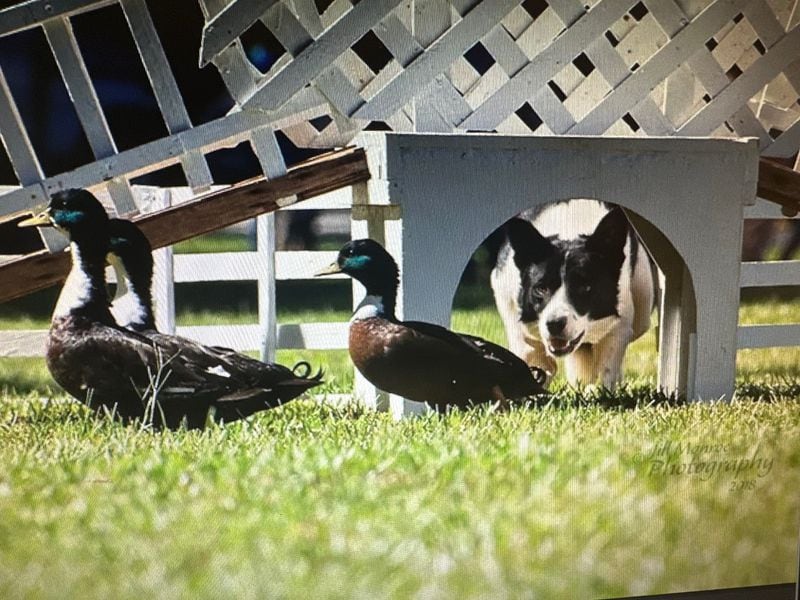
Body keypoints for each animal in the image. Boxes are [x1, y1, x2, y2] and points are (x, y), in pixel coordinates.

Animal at [494, 200, 656, 390]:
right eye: (541, 289)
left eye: (585, 287)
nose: (554, 324)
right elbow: (531, 352)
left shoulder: (618, 326)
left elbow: (606, 367)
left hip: (642, 308)